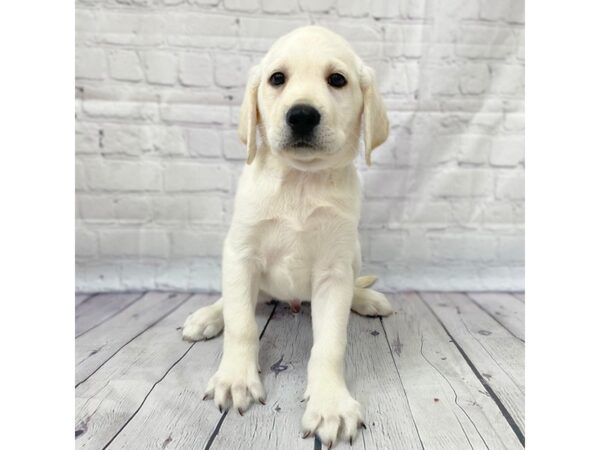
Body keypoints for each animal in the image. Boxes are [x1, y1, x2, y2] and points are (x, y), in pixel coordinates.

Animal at [183, 25, 394, 446]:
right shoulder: (241, 254)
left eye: (337, 80)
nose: (301, 115)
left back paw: (366, 299)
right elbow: (242, 324)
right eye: (277, 79)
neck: (300, 180)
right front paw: (236, 379)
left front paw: (331, 404)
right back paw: (207, 317)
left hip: (353, 254)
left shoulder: (333, 271)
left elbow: (330, 344)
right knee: (237, 302)